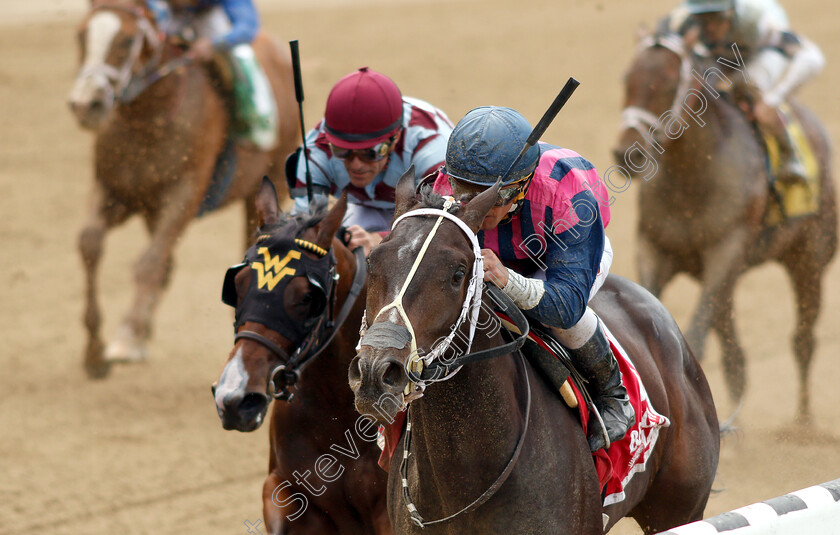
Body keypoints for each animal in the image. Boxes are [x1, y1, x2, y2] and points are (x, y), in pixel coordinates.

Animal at [69, 0, 300, 376]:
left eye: (127, 40)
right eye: (80, 34)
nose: (86, 104)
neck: (148, 118)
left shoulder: (182, 196)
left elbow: (148, 263)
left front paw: (126, 336)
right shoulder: (115, 190)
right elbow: (90, 243)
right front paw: (94, 351)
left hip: (267, 185)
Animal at [348, 173, 720, 535]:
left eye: (457, 274)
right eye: (372, 261)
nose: (377, 373)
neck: (464, 484)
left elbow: (568, 301)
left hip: (679, 509)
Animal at [612, 32, 836, 422]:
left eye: (668, 83)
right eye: (628, 79)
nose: (627, 153)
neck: (692, 177)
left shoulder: (726, 251)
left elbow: (697, 338)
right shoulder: (653, 249)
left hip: (808, 260)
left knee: (803, 341)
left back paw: (803, 424)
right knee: (737, 357)